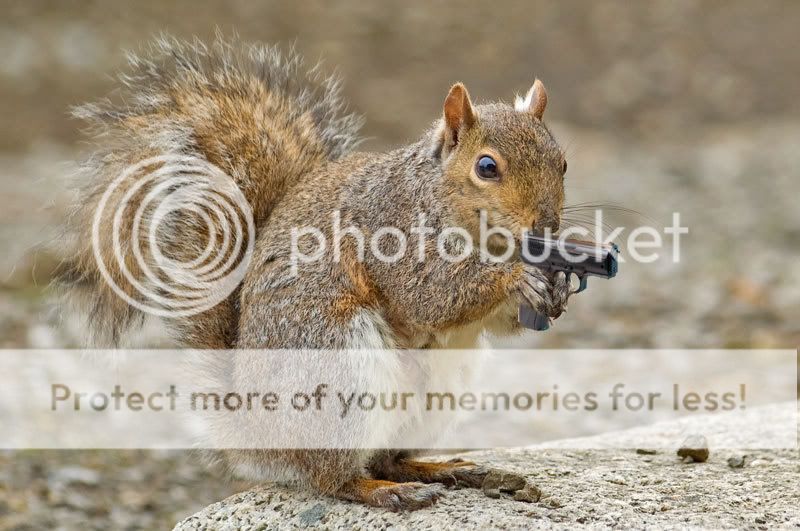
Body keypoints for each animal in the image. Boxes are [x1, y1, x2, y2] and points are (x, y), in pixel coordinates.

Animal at [59, 36, 571, 510]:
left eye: (563, 162)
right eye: (486, 167)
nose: (545, 227)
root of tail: (262, 431)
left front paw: (556, 289)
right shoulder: (391, 231)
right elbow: (430, 296)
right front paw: (517, 276)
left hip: (440, 382)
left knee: (388, 456)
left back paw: (444, 470)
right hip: (337, 362)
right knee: (334, 476)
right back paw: (382, 491)